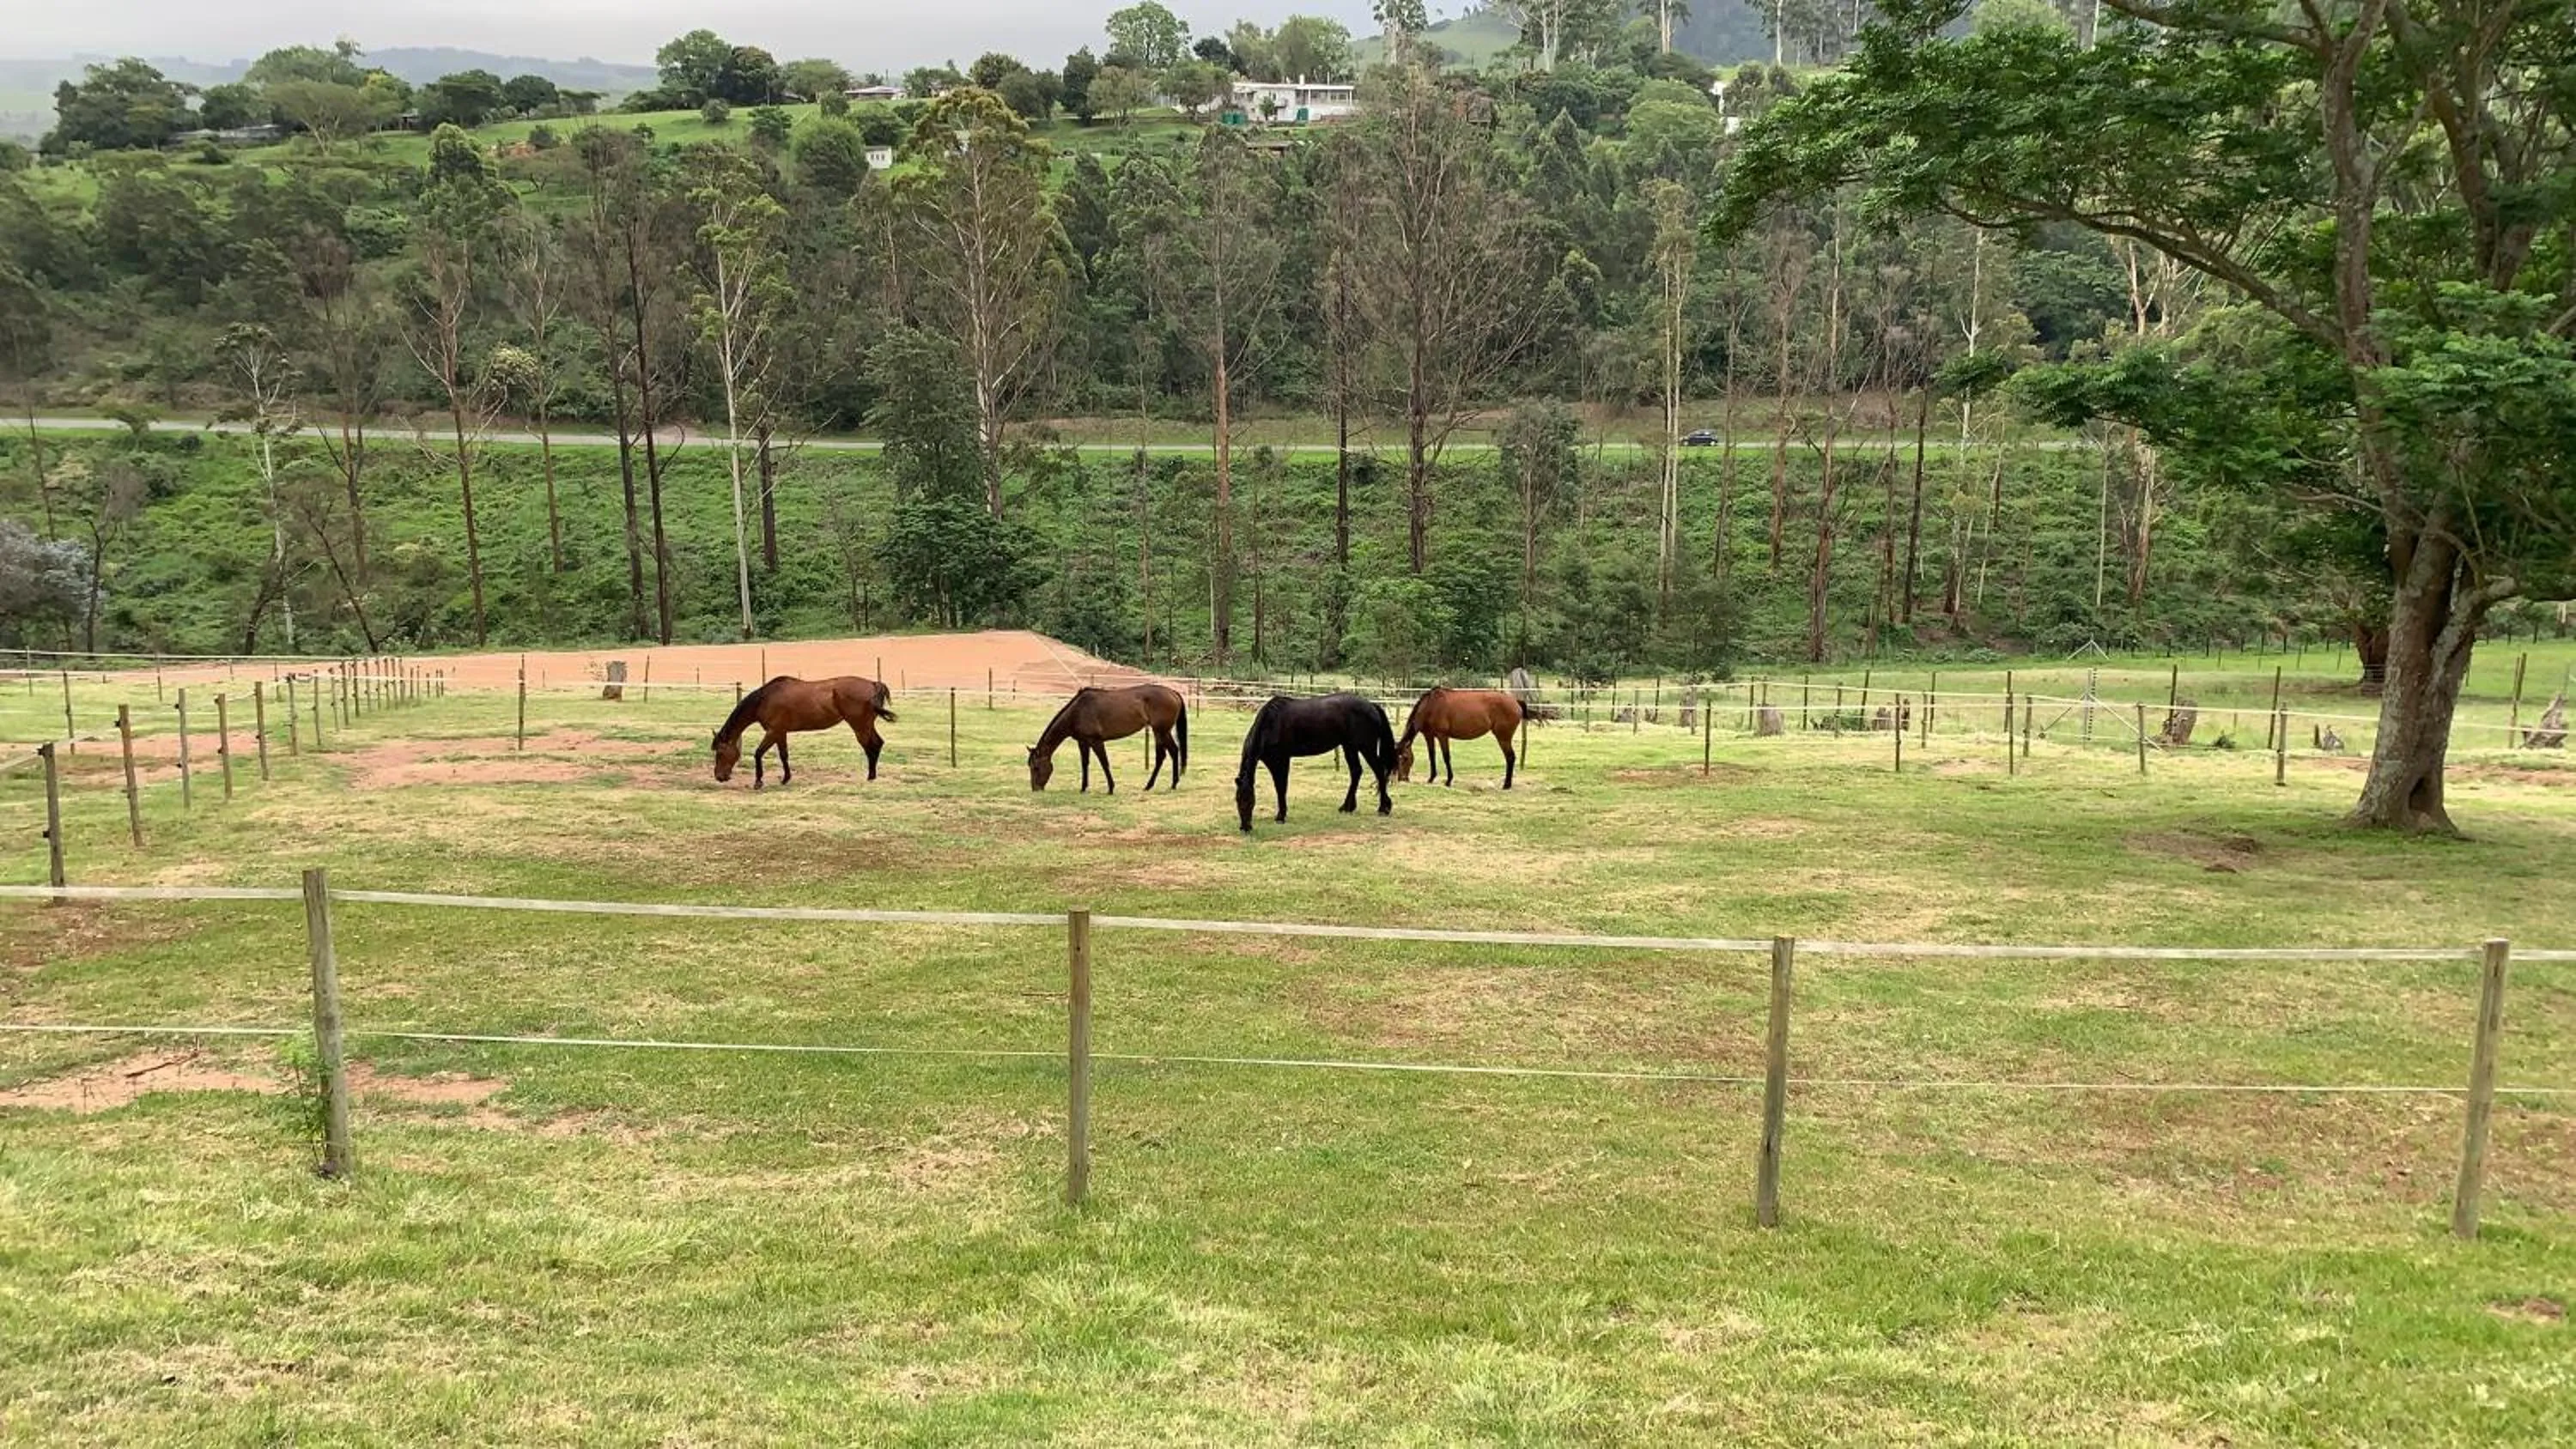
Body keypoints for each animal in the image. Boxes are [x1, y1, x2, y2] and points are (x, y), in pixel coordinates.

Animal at [712, 676, 896, 788]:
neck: (765, 699)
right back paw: (872, 776)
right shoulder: (781, 733)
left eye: (720, 752)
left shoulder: (772, 732)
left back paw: (870, 776)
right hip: (866, 725)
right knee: (877, 744)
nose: (719, 777)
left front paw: (758, 782)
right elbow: (784, 755)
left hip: (860, 726)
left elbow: (758, 753)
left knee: (871, 747)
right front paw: (786, 778)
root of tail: (873, 684)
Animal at [1029, 684, 1189, 793]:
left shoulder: (1096, 741)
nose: (1035, 789)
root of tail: (1173, 693)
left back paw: (1154, 785)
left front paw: (1111, 788)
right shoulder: (1083, 742)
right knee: (1173, 752)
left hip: (1160, 731)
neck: (1077, 711)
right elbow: (1084, 764)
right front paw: (1083, 788)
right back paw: (1169, 784)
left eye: (1036, 767)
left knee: (1164, 755)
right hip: (1162, 732)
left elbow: (1104, 763)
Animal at [1235, 693, 1397, 833]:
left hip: (1366, 747)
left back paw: (1383, 808)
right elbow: (1279, 787)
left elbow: (1281, 787)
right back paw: (1347, 807)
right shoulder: (1270, 761)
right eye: (1237, 800)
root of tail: (1372, 705)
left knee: (1378, 770)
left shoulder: (1282, 760)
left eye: (1251, 801)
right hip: (1349, 746)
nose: (1245, 827)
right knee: (1356, 771)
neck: (1271, 723)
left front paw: (1281, 816)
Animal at [1394, 687, 1525, 789]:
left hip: (1503, 738)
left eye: (1406, 758)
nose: (1402, 779)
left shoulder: (1443, 736)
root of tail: (1515, 702)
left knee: (1510, 757)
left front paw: (1448, 781)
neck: (1431, 706)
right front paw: (1431, 779)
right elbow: (1432, 756)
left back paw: (1506, 785)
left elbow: (1446, 757)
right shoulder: (1429, 736)